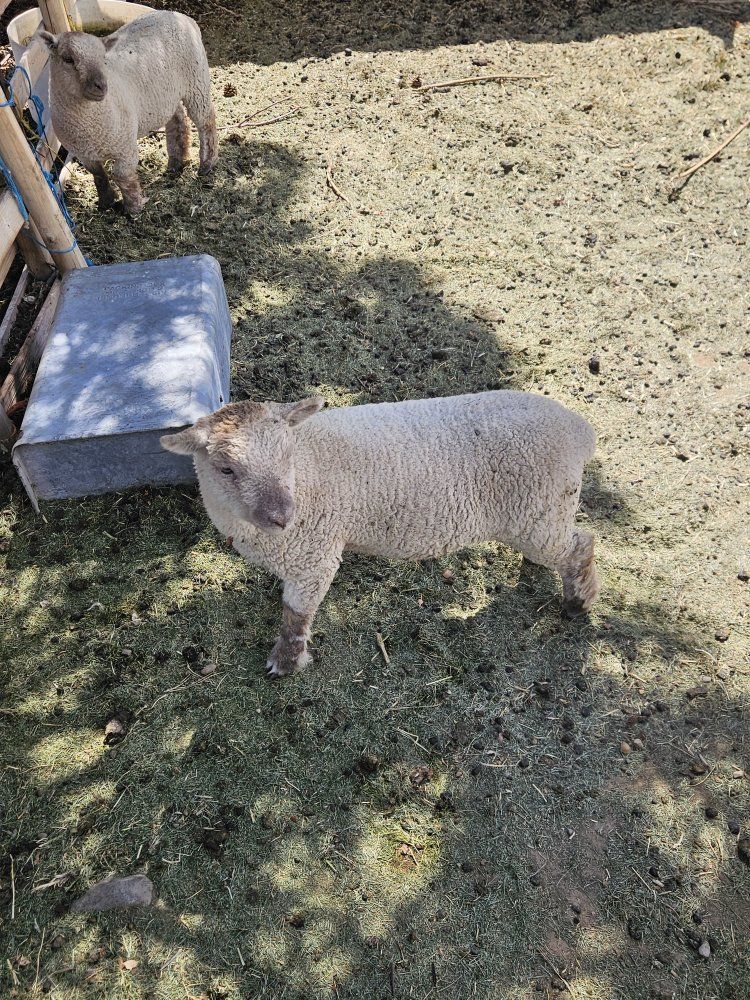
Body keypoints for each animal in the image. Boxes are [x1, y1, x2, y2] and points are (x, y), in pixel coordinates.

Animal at [40, 11, 218, 216]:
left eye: (103, 58)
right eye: (68, 59)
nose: (101, 86)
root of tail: (180, 16)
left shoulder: (125, 146)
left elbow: (122, 176)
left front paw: (134, 208)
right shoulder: (84, 153)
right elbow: (99, 175)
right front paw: (105, 202)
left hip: (197, 82)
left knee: (206, 121)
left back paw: (207, 164)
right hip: (166, 94)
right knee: (177, 119)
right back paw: (176, 162)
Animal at [161, 391, 600, 677]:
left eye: (286, 455)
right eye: (226, 469)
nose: (283, 517)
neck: (307, 469)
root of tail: (580, 429)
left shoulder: (314, 556)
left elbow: (296, 617)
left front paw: (285, 663)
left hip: (538, 510)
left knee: (581, 544)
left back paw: (577, 602)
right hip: (542, 513)